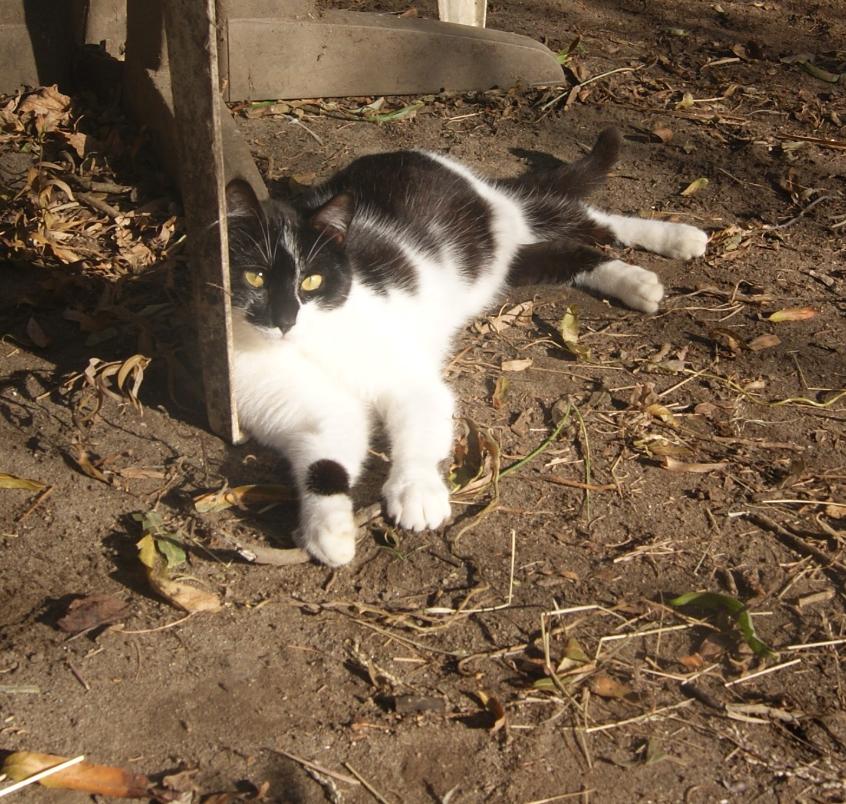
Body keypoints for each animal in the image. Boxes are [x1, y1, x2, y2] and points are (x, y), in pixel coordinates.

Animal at [225, 129, 708, 564]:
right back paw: (634, 275)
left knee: (579, 215)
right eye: (254, 278)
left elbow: (420, 428)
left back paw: (674, 244)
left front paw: (417, 491)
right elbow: (325, 457)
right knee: (564, 252)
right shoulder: (307, 407)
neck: (314, 342)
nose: (284, 320)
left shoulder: (409, 379)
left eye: (311, 281)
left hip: (498, 225)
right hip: (505, 264)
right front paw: (329, 530)